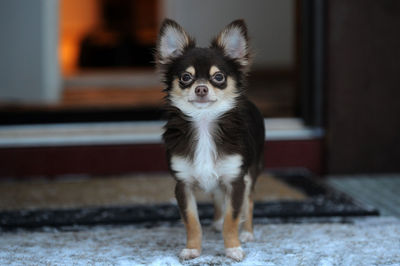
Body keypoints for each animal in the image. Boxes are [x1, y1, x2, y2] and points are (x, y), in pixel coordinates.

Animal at [156, 19, 266, 262]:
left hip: (250, 173)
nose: (201, 88)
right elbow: (192, 222)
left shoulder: (236, 180)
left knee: (249, 203)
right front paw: (193, 249)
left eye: (219, 77)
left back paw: (247, 233)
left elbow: (232, 219)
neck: (204, 122)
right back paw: (216, 222)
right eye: (185, 78)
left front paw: (233, 248)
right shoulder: (183, 185)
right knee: (217, 196)